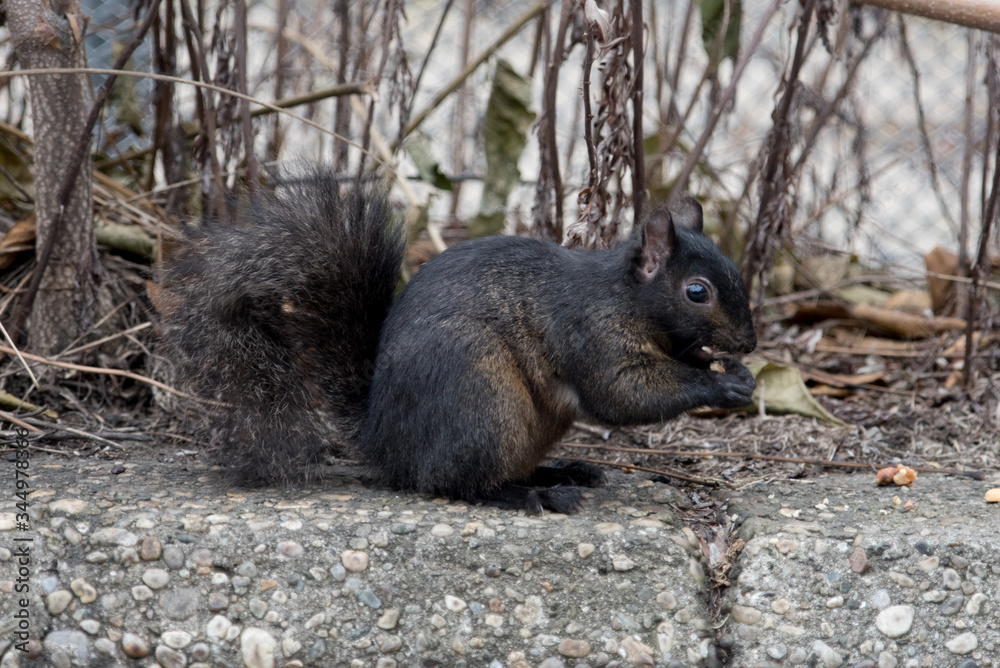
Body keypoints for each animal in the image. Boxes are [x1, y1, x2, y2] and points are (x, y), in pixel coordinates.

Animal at [164, 170, 756, 514]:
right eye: (697, 291)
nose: (748, 343)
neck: (625, 297)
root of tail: (384, 441)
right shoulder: (592, 332)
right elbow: (623, 394)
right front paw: (721, 384)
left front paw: (726, 367)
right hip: (481, 398)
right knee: (451, 482)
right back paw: (535, 494)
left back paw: (563, 470)